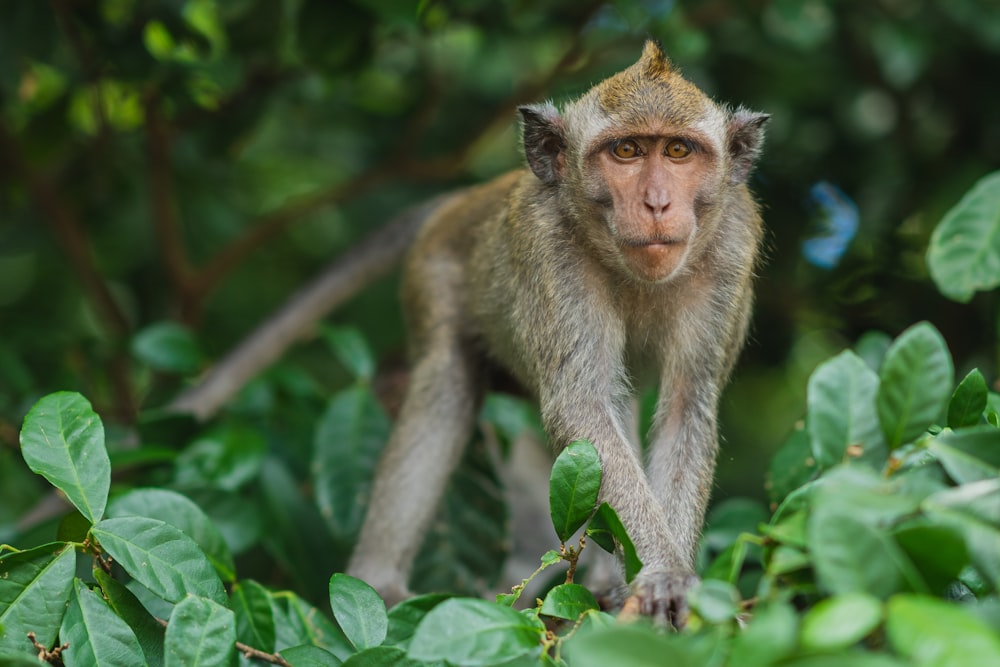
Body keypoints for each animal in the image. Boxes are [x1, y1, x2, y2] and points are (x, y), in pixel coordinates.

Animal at [342, 40, 764, 628]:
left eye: (679, 151)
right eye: (627, 151)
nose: (657, 203)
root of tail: (467, 199)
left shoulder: (731, 247)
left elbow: (685, 407)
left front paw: (673, 585)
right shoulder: (550, 250)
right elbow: (581, 404)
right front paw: (664, 574)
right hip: (433, 274)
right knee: (447, 386)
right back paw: (380, 584)